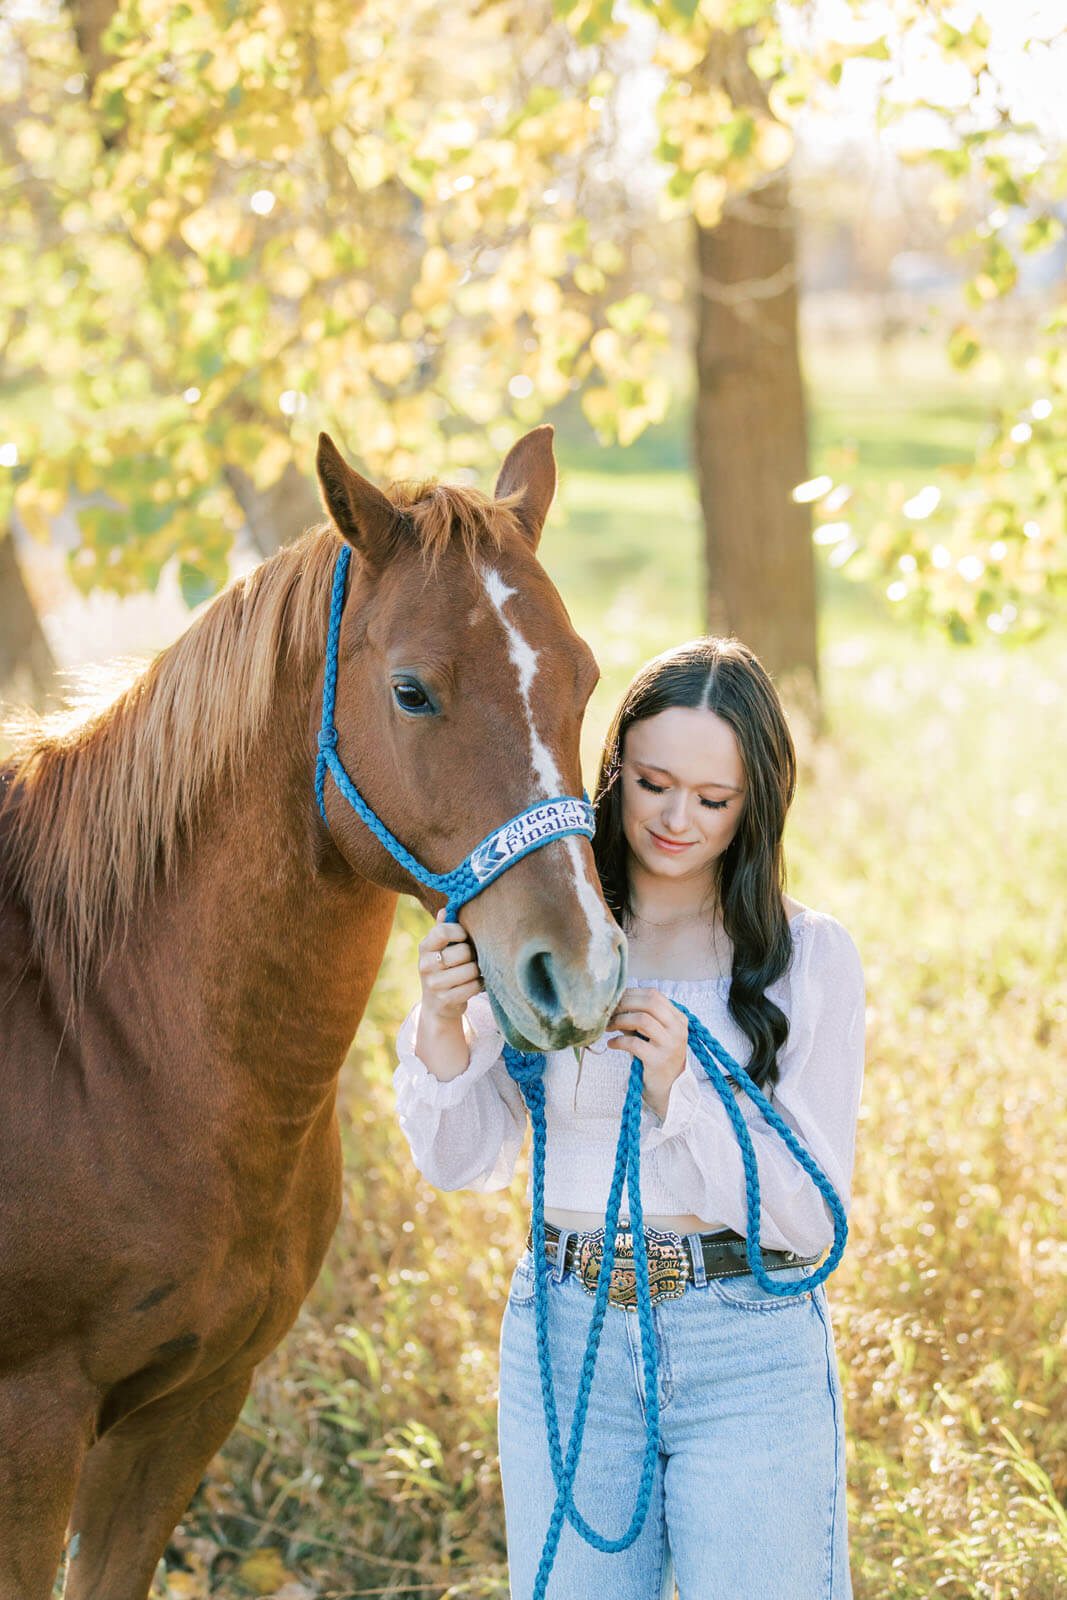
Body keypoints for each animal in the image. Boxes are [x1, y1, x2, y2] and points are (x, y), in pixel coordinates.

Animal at [0, 426, 626, 1600]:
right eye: (412, 691)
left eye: (584, 677)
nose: (580, 973)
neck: (106, 1040)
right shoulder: (34, 1431)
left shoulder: (186, 1411)